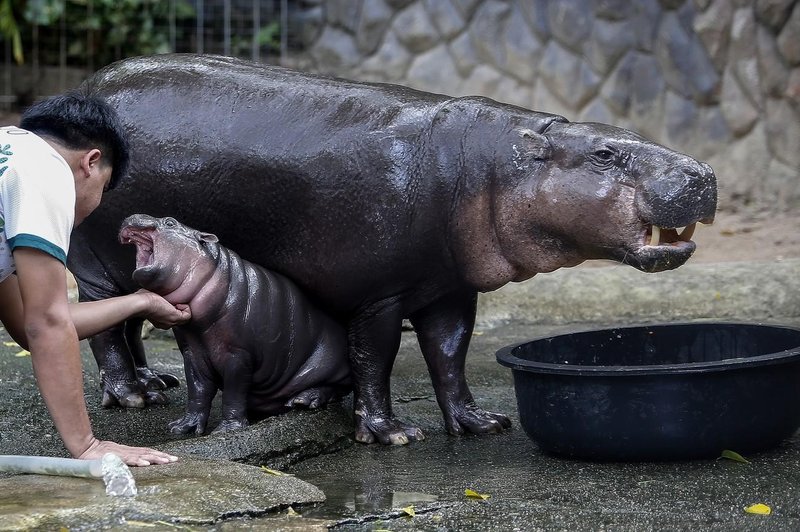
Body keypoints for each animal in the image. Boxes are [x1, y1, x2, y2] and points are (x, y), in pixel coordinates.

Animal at [119, 214, 350, 434]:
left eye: (170, 222)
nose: (130, 216)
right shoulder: (192, 353)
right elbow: (197, 390)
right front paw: (183, 427)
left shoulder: (238, 355)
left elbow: (233, 391)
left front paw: (227, 429)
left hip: (330, 364)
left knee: (337, 388)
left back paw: (303, 400)